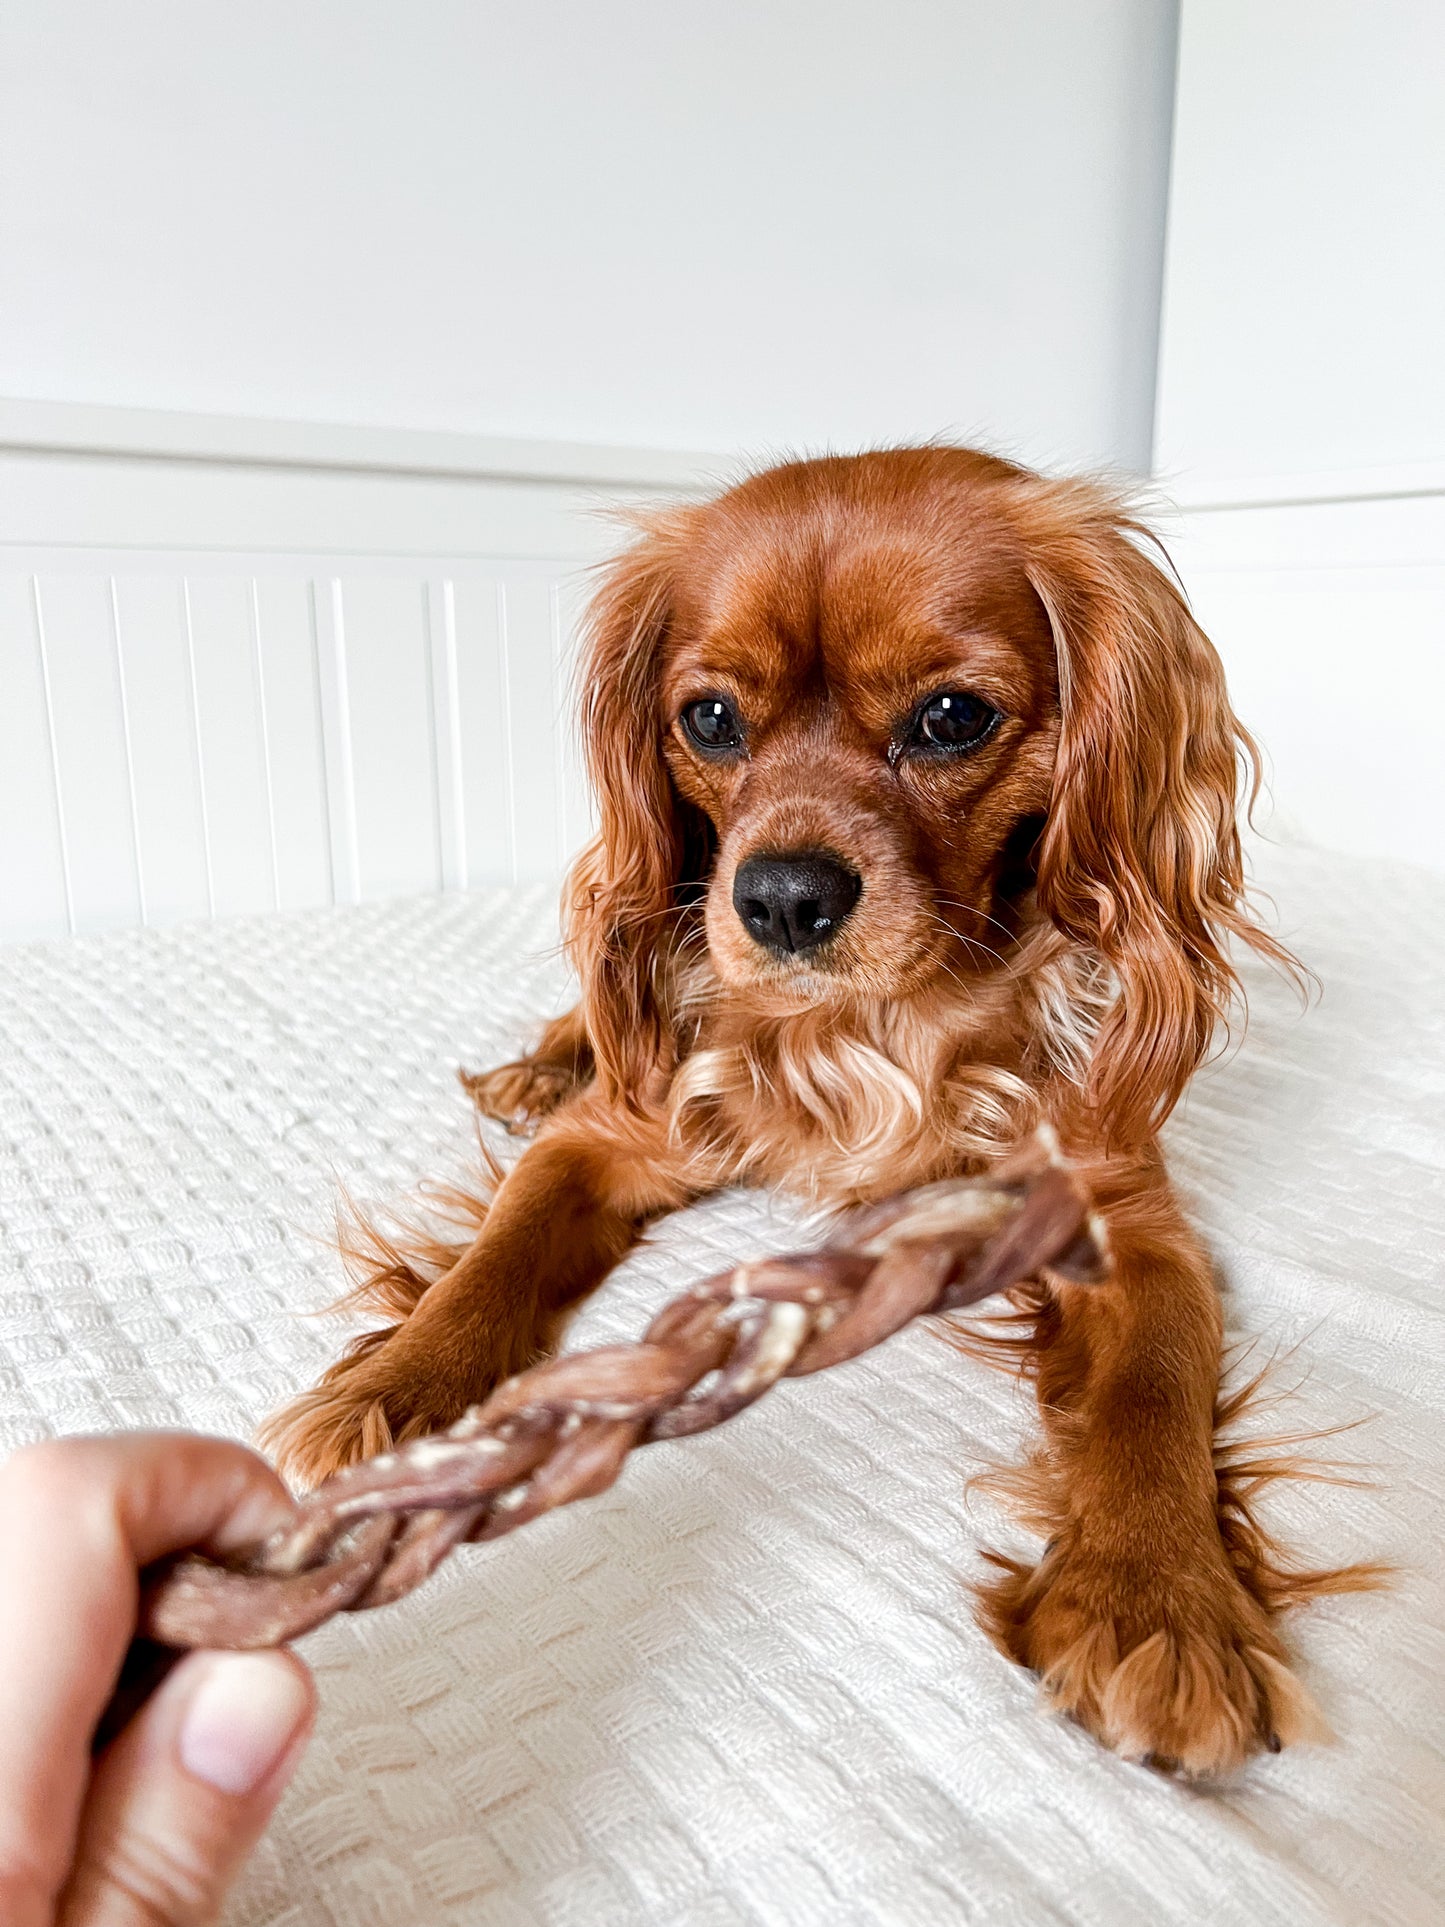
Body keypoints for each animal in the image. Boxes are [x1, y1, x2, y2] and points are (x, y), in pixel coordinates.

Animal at [269, 443, 1356, 1765]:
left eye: (951, 717)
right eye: (708, 718)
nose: (779, 896)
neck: (872, 1027)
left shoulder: (1122, 1214)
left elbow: (1152, 1389)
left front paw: (1156, 1603)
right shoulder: (607, 1141)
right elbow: (493, 1257)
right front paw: (395, 1395)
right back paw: (542, 1063)